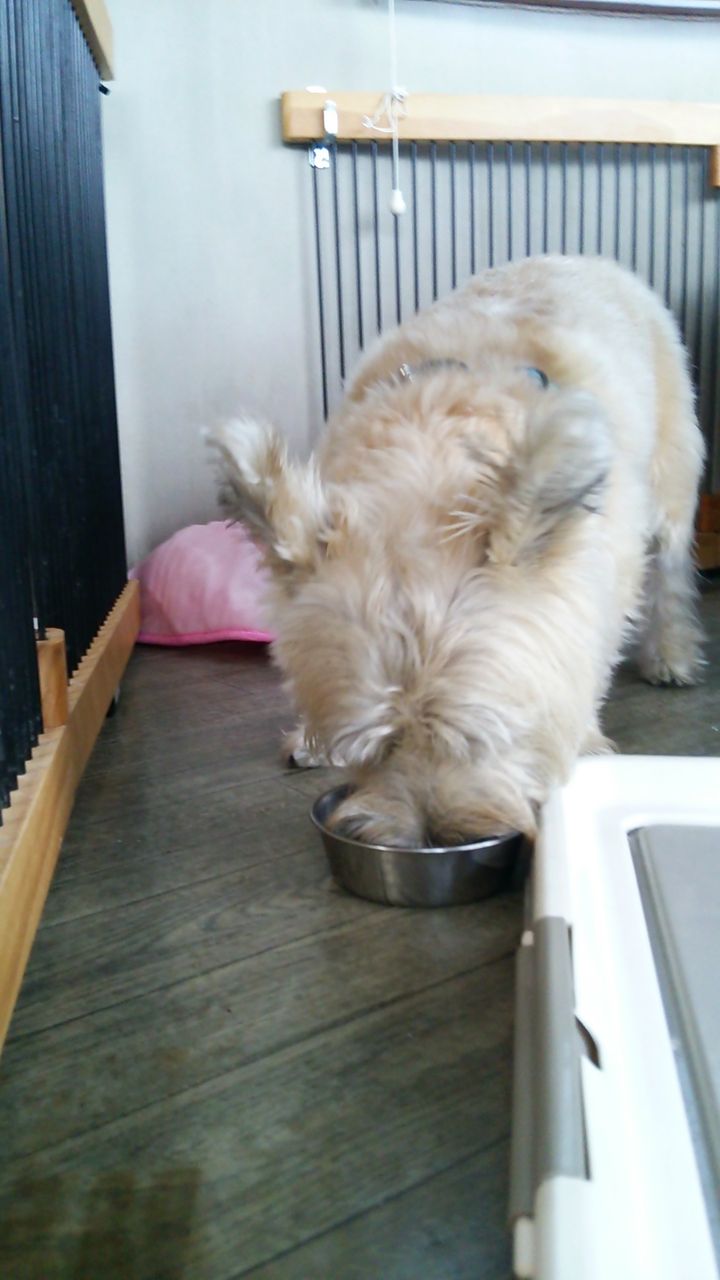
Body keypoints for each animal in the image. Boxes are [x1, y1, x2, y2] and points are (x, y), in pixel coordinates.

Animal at [209, 254, 705, 846]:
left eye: (480, 740)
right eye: (371, 749)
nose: (434, 840)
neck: (424, 470)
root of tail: (580, 257)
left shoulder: (603, 580)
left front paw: (583, 740)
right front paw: (310, 737)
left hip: (672, 484)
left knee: (672, 576)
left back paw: (671, 655)